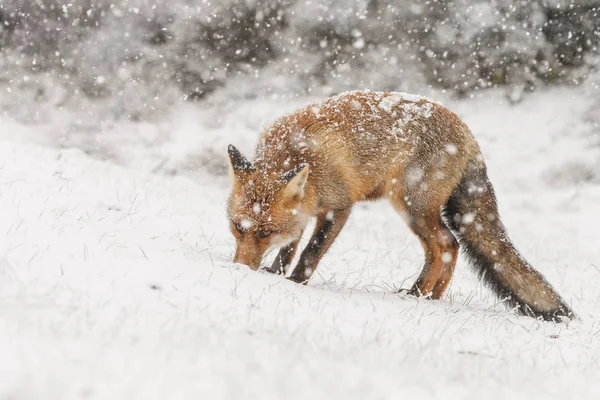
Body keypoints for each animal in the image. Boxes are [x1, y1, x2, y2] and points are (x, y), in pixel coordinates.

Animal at [227, 90, 576, 322]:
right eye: (237, 227)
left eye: (265, 233)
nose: (240, 269)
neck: (297, 153)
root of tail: (467, 132)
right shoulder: (303, 213)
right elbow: (289, 248)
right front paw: (274, 273)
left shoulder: (338, 206)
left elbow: (311, 252)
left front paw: (295, 283)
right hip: (415, 212)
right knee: (443, 248)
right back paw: (430, 297)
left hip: (412, 207)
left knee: (447, 244)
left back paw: (420, 295)